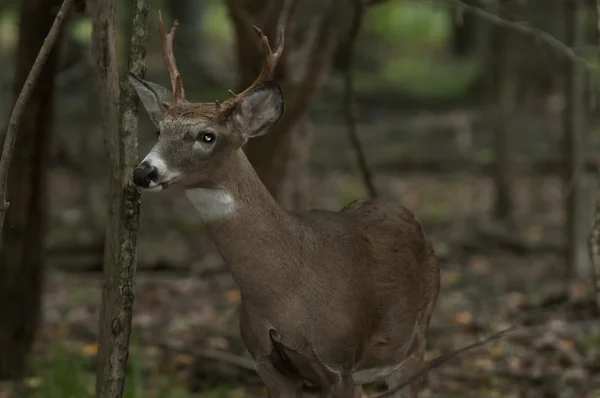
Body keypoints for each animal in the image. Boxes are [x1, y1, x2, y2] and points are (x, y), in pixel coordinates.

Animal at [130, 10, 440, 396]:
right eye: (159, 131)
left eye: (207, 136)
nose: (144, 172)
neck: (285, 292)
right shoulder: (265, 360)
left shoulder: (338, 362)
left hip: (414, 344)